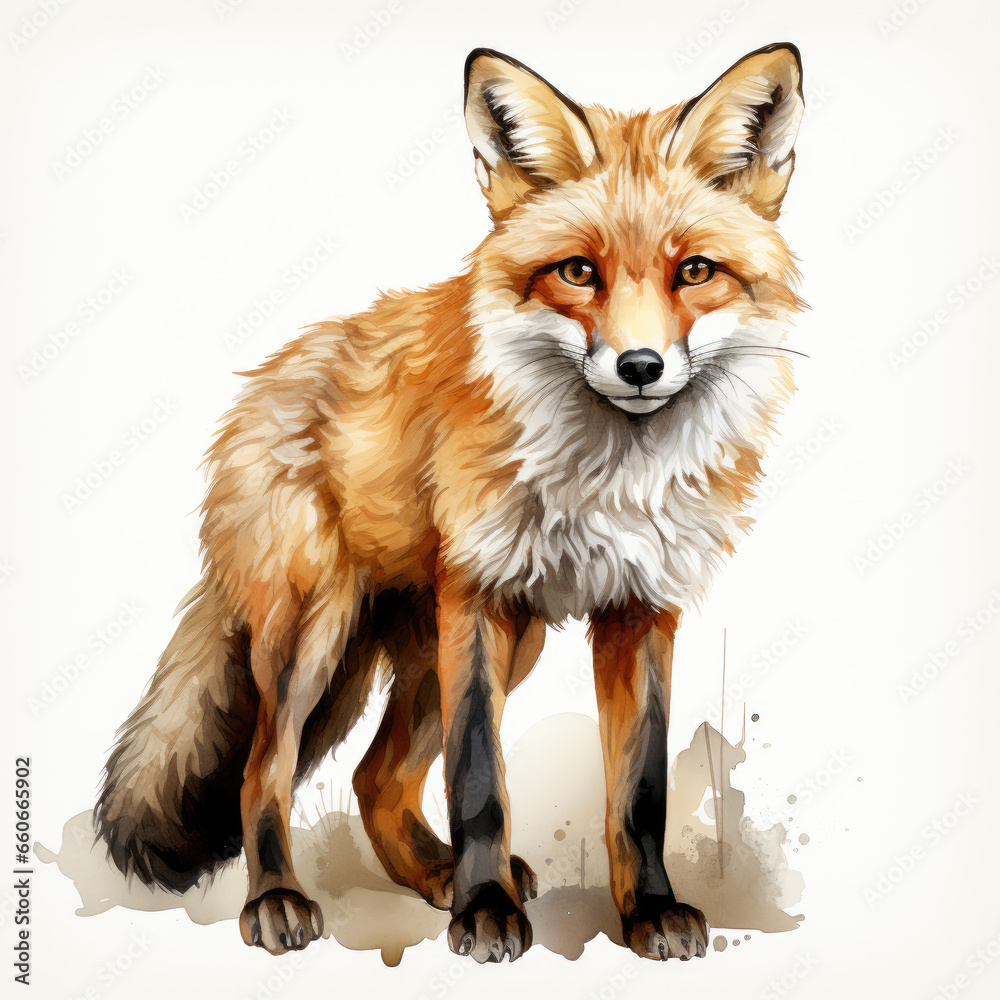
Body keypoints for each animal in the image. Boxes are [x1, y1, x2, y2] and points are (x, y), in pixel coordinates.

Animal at [95, 43, 806, 964]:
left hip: (475, 644)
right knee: (265, 770)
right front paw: (486, 913)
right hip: (319, 633)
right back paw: (283, 897)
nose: (641, 366)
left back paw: (435, 875)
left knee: (375, 778)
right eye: (578, 271)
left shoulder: (639, 610)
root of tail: (266, 377)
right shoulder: (477, 598)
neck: (606, 476)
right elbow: (478, 781)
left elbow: (638, 793)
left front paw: (647, 910)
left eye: (695, 272)